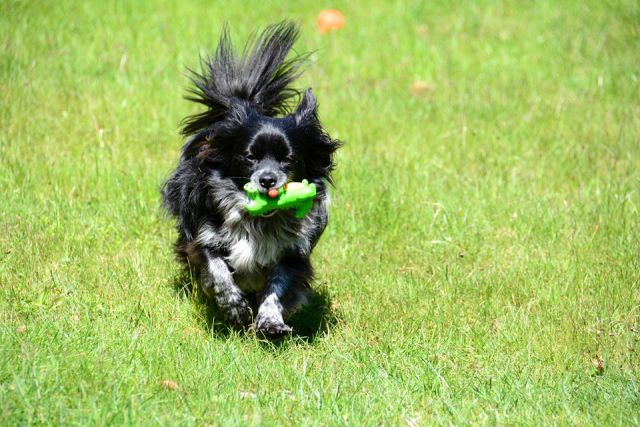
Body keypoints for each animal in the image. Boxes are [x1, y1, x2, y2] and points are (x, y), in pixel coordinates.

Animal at [162, 22, 342, 338]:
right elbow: (217, 268)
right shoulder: (204, 238)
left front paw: (270, 321)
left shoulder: (292, 254)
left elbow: (277, 287)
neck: (259, 222)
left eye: (288, 160)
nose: (268, 180)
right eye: (250, 158)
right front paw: (233, 305)